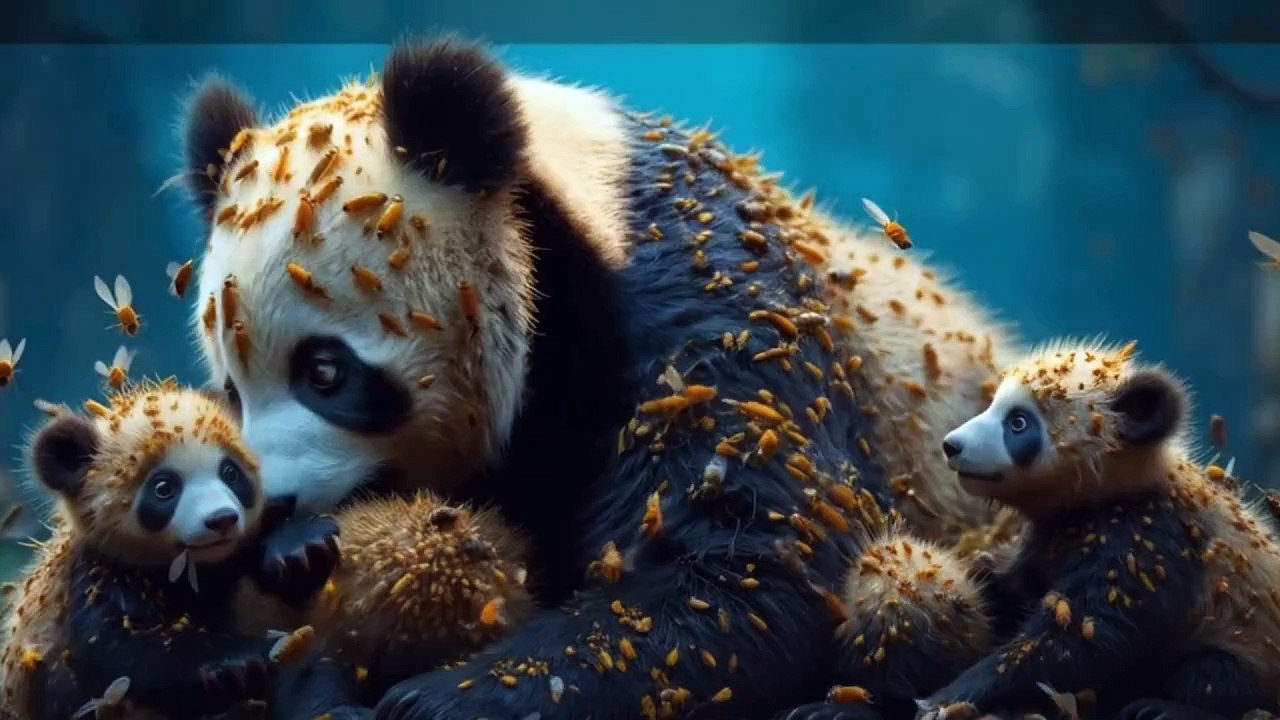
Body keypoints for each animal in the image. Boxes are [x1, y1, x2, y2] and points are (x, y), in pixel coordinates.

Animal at [174, 36, 1017, 719]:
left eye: (326, 372)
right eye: (231, 390)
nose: (270, 504)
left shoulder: (700, 317)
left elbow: (746, 574)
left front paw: (445, 698)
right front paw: (296, 569)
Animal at [922, 338, 1280, 720]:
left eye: (1018, 422)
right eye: (992, 404)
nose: (951, 445)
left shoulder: (1146, 542)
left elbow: (1084, 638)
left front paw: (949, 698)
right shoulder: (1049, 537)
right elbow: (1020, 582)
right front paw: (977, 571)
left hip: (1247, 641)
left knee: (1213, 675)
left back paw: (1164, 708)